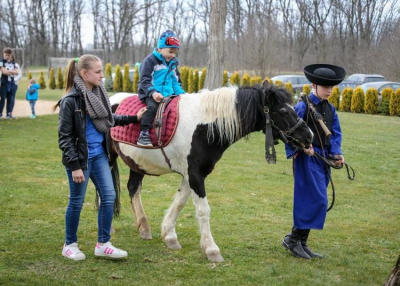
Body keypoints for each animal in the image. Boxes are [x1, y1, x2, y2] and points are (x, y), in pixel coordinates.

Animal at [108, 82, 312, 262]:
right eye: (284, 111)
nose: (309, 135)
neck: (204, 126)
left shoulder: (192, 174)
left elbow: (180, 202)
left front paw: (169, 236)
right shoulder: (195, 174)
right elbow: (203, 210)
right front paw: (211, 249)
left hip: (136, 163)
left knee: (133, 188)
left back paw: (144, 228)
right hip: (108, 158)